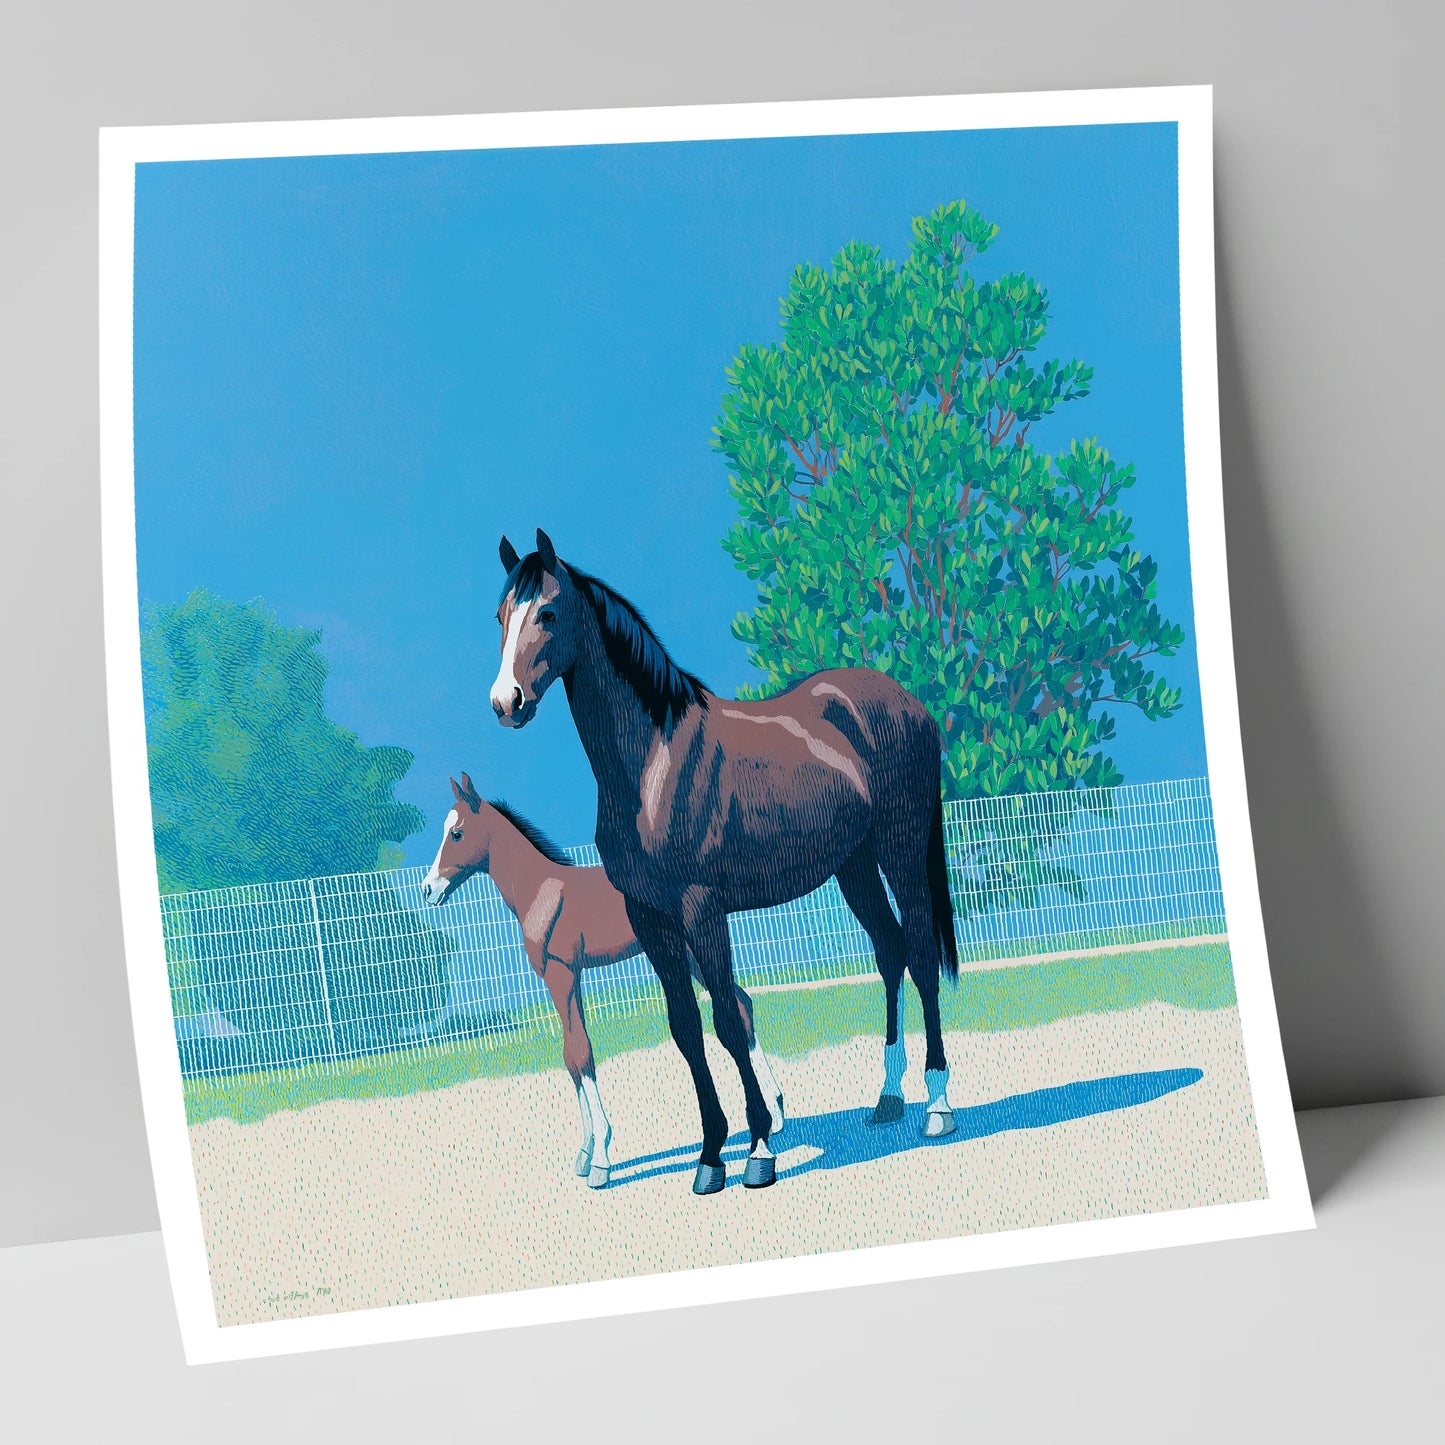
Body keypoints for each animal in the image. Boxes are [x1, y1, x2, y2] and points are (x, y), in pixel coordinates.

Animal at [419, 773, 785, 1188]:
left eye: (458, 834)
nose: (428, 889)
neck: (541, 889)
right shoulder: (566, 978)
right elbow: (571, 1055)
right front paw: (583, 1153)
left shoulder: (562, 974)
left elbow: (581, 1052)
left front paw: (600, 1161)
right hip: (691, 957)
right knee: (742, 1003)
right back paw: (775, 1113)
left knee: (737, 1006)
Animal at [487, 529, 959, 1196]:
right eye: (501, 616)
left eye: (548, 613)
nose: (507, 702)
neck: (652, 761)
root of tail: (906, 703)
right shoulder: (652, 918)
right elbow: (686, 1029)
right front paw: (711, 1157)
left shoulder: (701, 909)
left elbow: (729, 1022)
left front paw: (759, 1149)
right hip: (854, 866)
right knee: (890, 952)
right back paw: (888, 1098)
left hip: (900, 849)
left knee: (918, 954)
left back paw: (938, 1105)